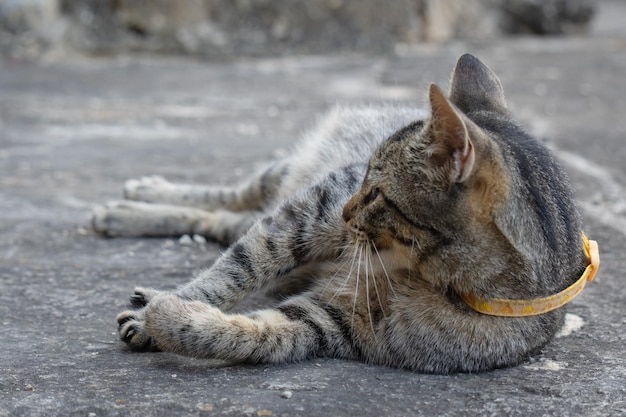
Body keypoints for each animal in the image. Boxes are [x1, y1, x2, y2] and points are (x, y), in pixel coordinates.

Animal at [95, 53, 592, 372]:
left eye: (375, 193)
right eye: (362, 178)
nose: (348, 210)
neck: (421, 271)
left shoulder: (330, 322)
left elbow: (246, 334)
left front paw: (163, 315)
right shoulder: (307, 212)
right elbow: (237, 269)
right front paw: (167, 304)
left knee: (222, 222)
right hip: (287, 179)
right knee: (232, 200)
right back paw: (137, 198)